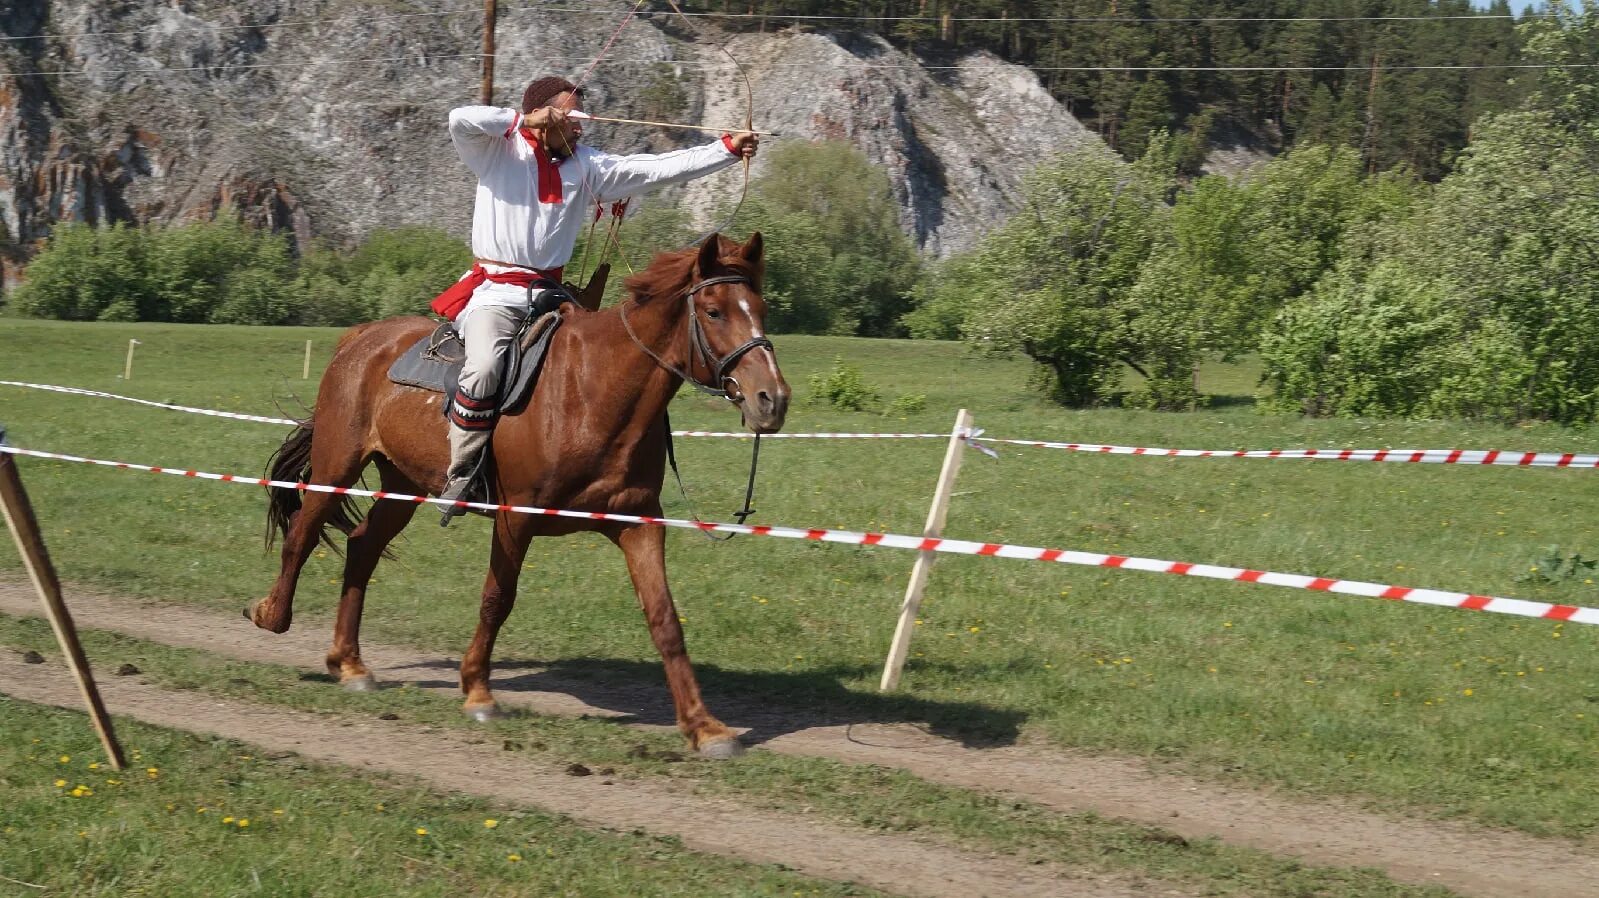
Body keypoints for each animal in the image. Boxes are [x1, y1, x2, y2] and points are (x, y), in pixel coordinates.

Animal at [247, 231, 786, 754]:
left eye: (761, 309)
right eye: (714, 311)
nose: (773, 399)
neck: (594, 392)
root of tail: (361, 337)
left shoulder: (638, 524)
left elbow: (664, 619)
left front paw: (704, 726)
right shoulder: (516, 517)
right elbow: (497, 598)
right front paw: (478, 691)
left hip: (403, 484)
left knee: (362, 547)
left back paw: (349, 663)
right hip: (337, 465)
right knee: (303, 533)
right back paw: (272, 614)